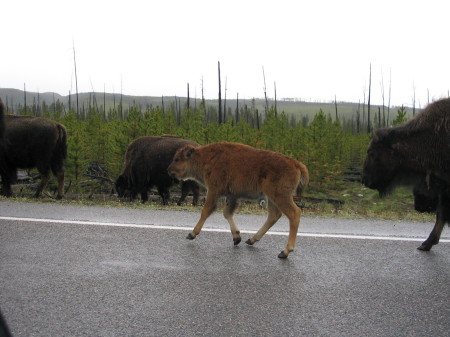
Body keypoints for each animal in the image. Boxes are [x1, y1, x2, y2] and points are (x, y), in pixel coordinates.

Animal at [169, 140, 310, 258]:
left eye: (177, 159)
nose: (169, 170)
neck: (206, 158)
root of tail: (296, 164)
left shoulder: (214, 191)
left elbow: (206, 211)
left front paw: (191, 234)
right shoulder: (232, 195)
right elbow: (227, 213)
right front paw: (237, 238)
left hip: (280, 196)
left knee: (294, 214)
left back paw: (285, 252)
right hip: (272, 198)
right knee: (274, 216)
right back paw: (251, 240)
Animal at [362, 97, 450, 249]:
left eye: (371, 152)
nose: (364, 179)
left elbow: (442, 214)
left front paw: (426, 243)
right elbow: (441, 214)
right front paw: (426, 244)